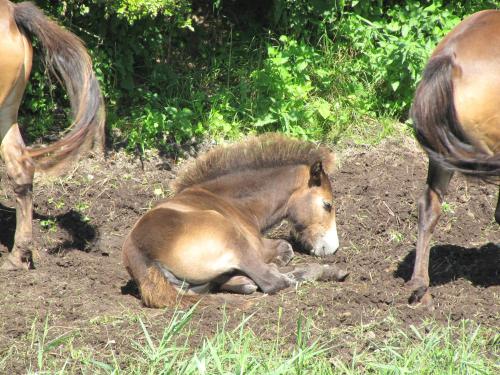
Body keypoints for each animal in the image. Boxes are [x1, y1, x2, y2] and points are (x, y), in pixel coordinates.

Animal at [123, 134, 346, 308]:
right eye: (327, 205)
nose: (332, 248)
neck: (233, 202)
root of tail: (142, 255)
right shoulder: (257, 246)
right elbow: (285, 249)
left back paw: (241, 282)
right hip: (232, 237)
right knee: (272, 280)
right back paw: (332, 272)